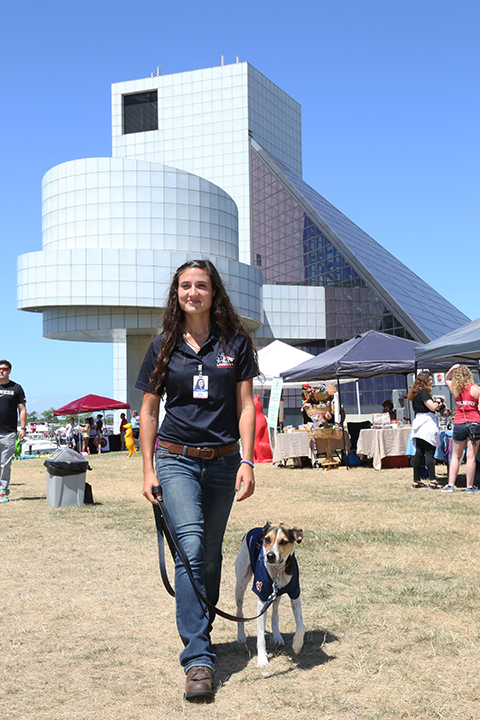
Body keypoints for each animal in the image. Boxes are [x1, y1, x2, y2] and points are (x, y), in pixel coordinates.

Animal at [235, 520, 304, 668]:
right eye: (267, 539)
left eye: (283, 542)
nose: (270, 555)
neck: (278, 570)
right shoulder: (262, 599)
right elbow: (261, 636)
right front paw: (262, 659)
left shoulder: (295, 594)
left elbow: (301, 626)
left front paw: (297, 645)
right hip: (240, 584)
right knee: (239, 612)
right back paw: (241, 636)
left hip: (276, 595)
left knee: (275, 615)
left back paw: (277, 636)